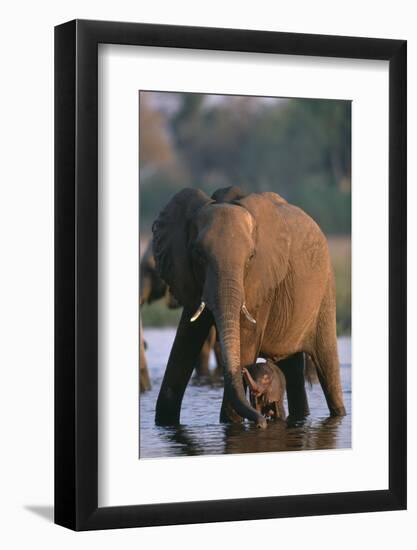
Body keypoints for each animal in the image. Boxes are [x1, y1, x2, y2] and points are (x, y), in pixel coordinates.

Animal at [152, 185, 344, 426]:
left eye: (251, 257)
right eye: (198, 255)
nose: (262, 421)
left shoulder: (262, 283)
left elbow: (245, 344)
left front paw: (233, 423)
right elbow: (184, 345)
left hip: (325, 291)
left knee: (327, 367)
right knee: (291, 369)